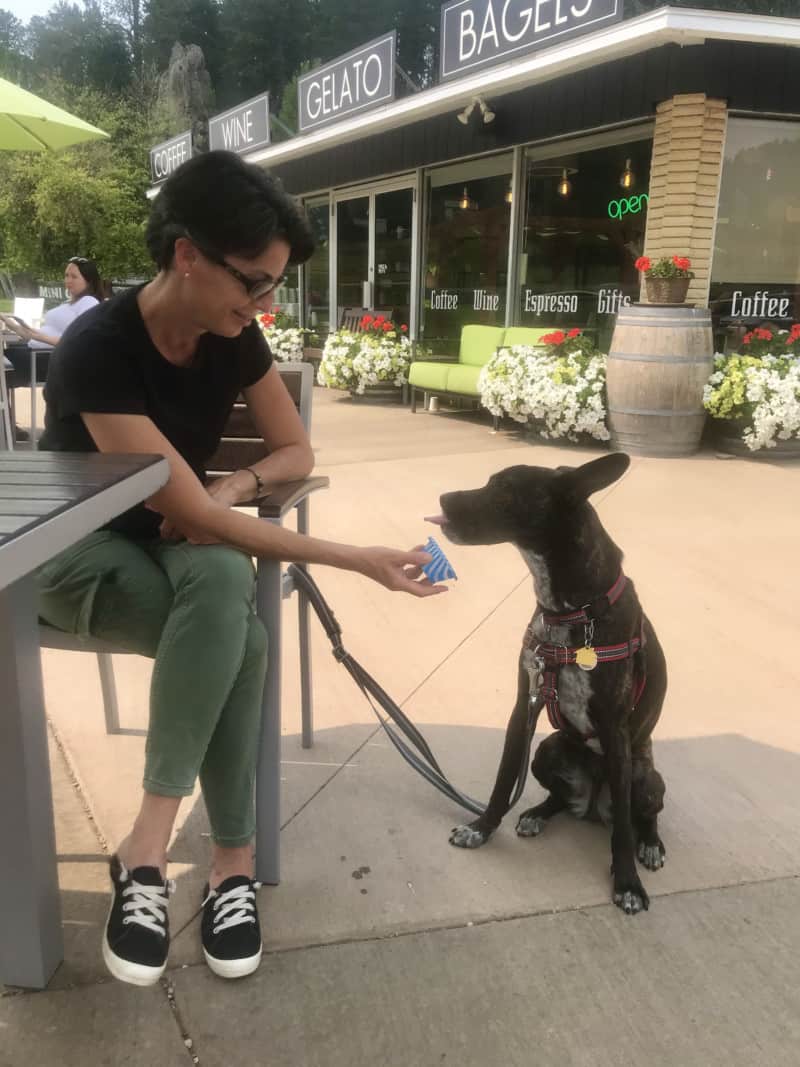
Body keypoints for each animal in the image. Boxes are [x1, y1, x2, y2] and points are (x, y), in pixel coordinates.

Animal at [433, 454, 669, 913]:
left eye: (504, 489)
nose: (443, 498)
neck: (574, 609)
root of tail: (593, 805)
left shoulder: (615, 731)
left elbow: (623, 830)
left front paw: (628, 882)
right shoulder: (524, 706)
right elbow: (504, 778)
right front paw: (481, 827)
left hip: (643, 776)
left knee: (643, 815)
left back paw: (650, 845)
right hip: (548, 749)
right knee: (561, 797)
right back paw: (536, 814)